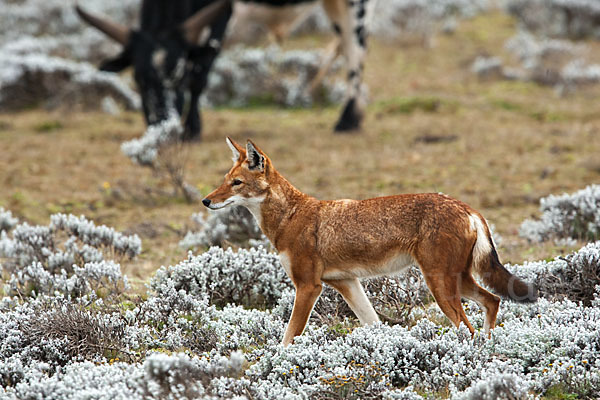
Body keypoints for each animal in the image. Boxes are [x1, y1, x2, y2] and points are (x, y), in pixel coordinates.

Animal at [79, 0, 370, 139]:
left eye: (179, 75)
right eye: (138, 79)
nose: (162, 125)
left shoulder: (221, 15)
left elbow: (201, 72)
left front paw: (192, 129)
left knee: (355, 49)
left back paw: (347, 119)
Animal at [204, 139, 536, 346]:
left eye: (236, 183)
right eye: (223, 180)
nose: (206, 200)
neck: (290, 216)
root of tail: (468, 208)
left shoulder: (309, 287)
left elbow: (288, 338)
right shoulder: (347, 283)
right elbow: (373, 324)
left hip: (440, 286)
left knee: (468, 328)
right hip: (457, 282)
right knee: (492, 301)